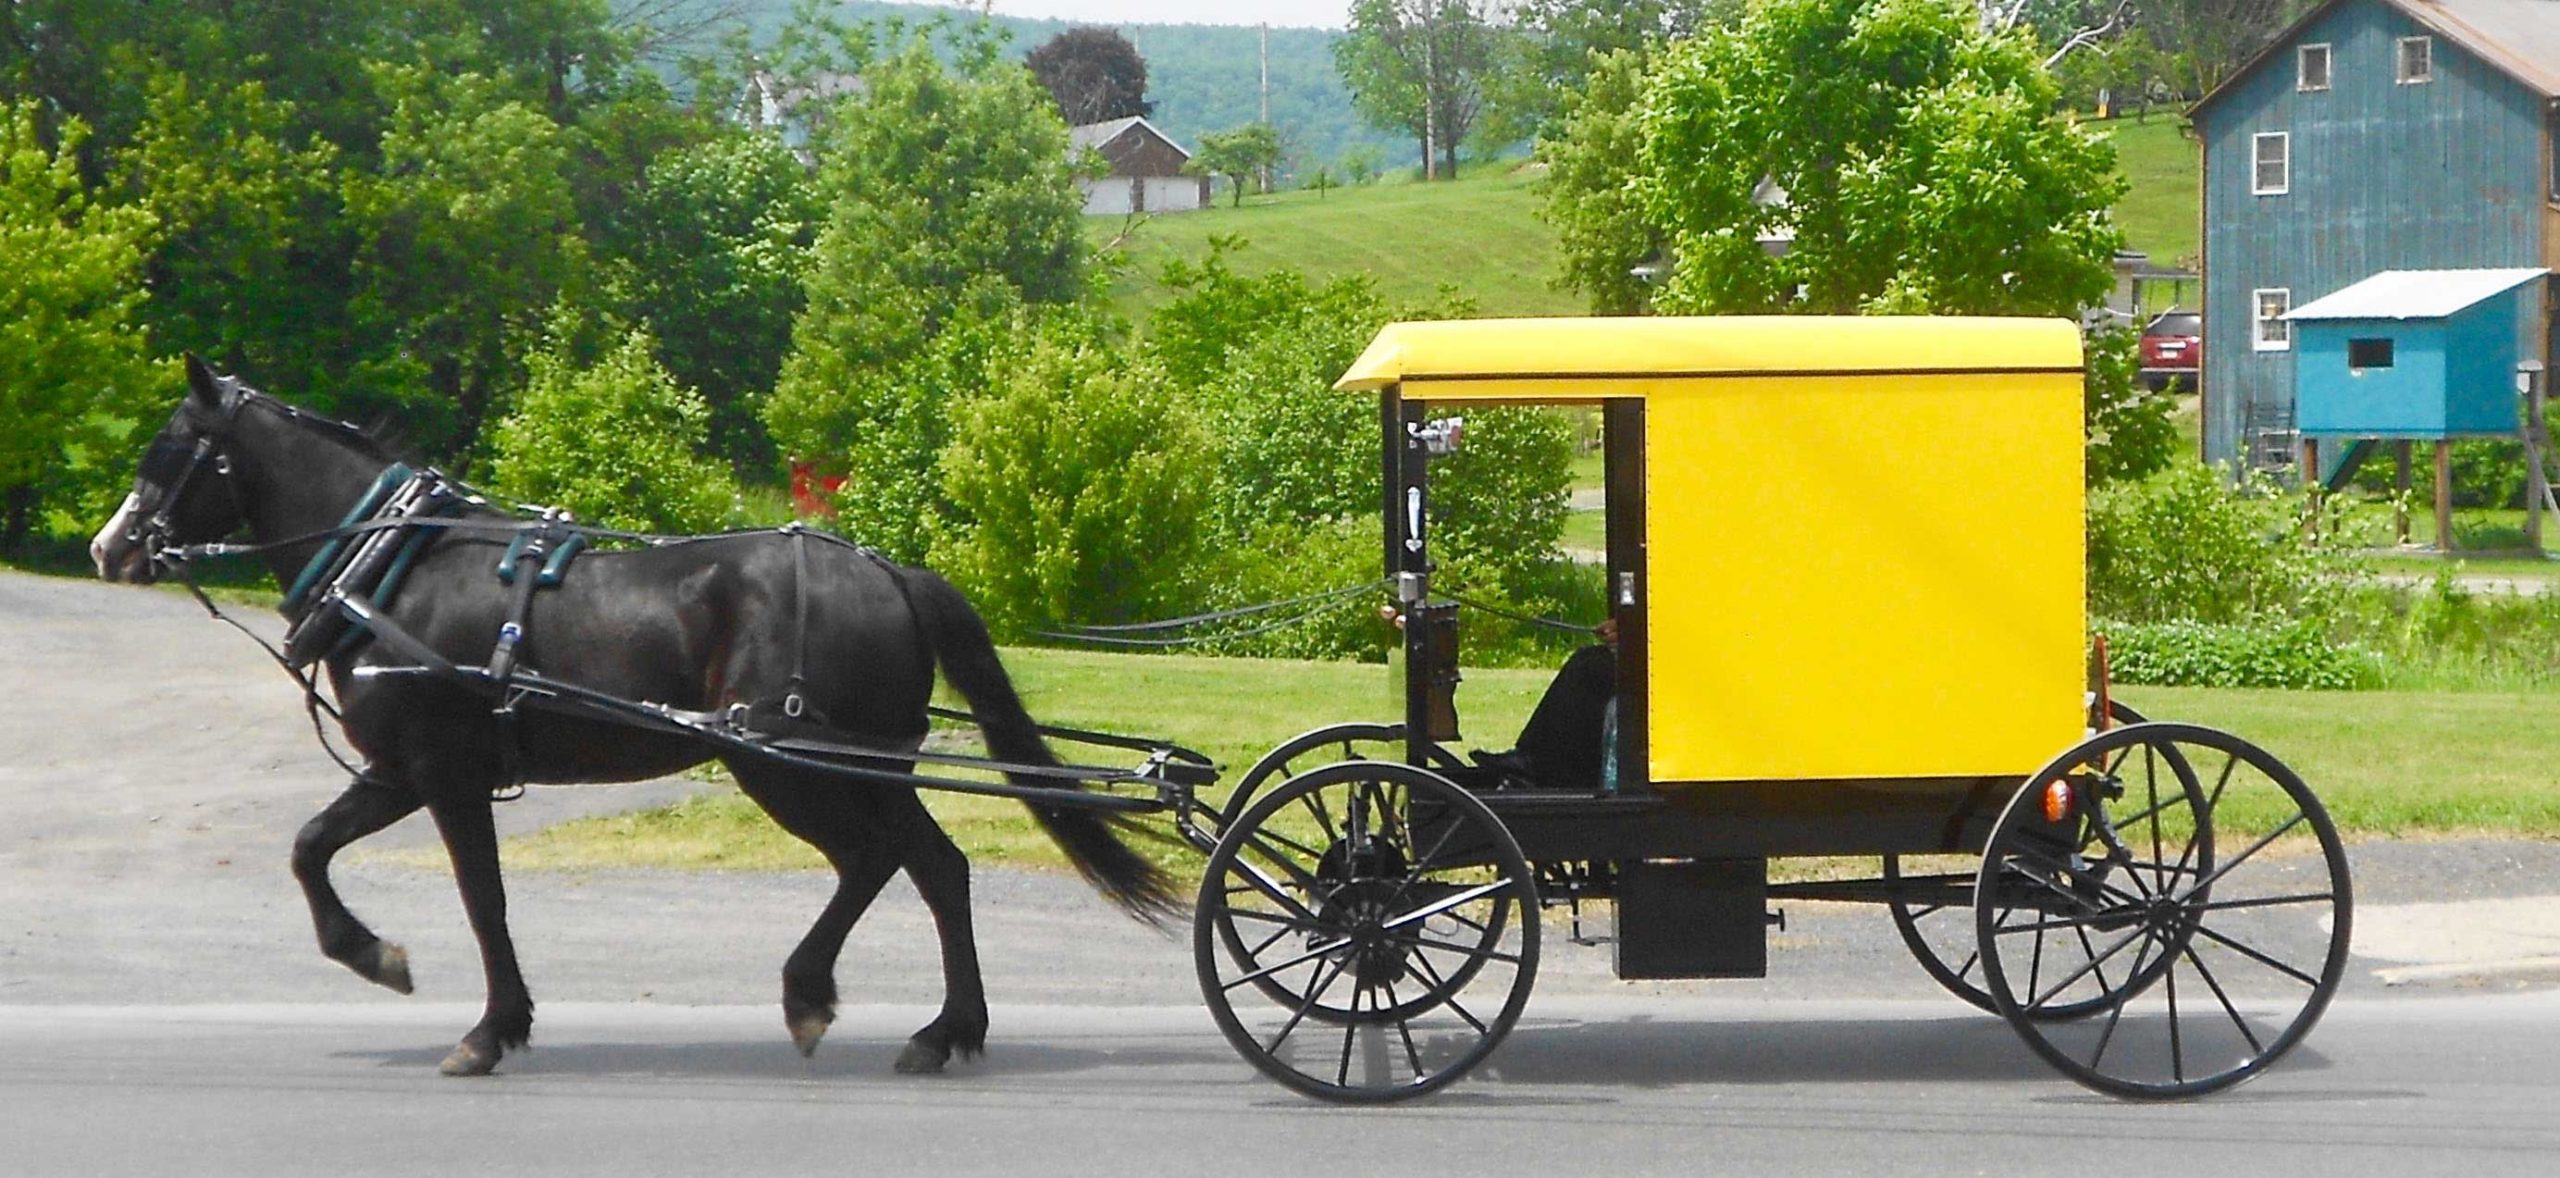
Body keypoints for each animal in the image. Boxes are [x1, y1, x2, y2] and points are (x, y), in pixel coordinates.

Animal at [92, 355, 1177, 1075]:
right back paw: (926, 1022)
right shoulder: (402, 770)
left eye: (168, 450)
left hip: (788, 759)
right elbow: (311, 846)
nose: (110, 548)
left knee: (896, 860)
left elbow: (481, 898)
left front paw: (487, 1027)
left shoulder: (443, 772)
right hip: (841, 761)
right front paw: (376, 956)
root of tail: (889, 572)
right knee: (922, 865)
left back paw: (851, 1004)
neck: (396, 566)